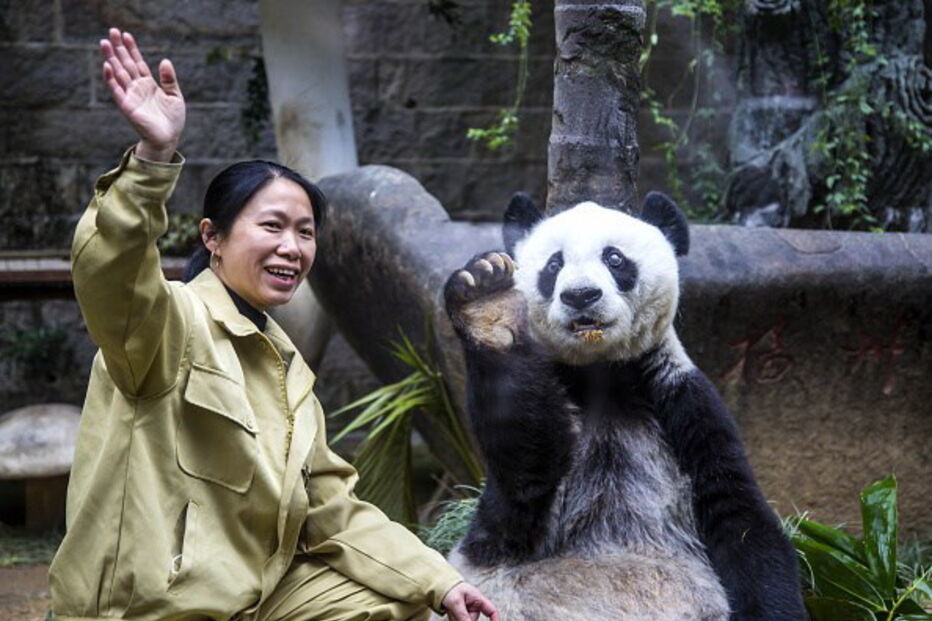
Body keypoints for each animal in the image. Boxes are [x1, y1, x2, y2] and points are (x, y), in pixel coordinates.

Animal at [437, 192, 806, 620]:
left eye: (614, 258)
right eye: (554, 265)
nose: (581, 295)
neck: (601, 371)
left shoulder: (682, 400)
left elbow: (740, 517)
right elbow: (523, 472)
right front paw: (488, 302)